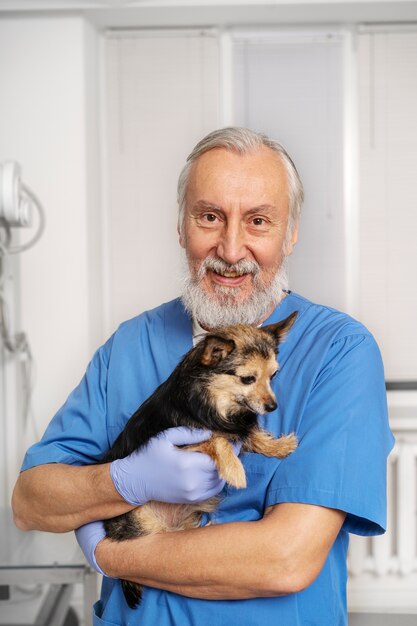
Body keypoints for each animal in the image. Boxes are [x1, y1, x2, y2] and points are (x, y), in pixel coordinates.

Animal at [101, 310, 296, 604]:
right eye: (247, 379)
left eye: (273, 375)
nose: (272, 406)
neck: (215, 401)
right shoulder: (180, 444)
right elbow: (217, 439)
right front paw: (234, 470)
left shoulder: (236, 424)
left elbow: (248, 434)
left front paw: (278, 446)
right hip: (142, 521)